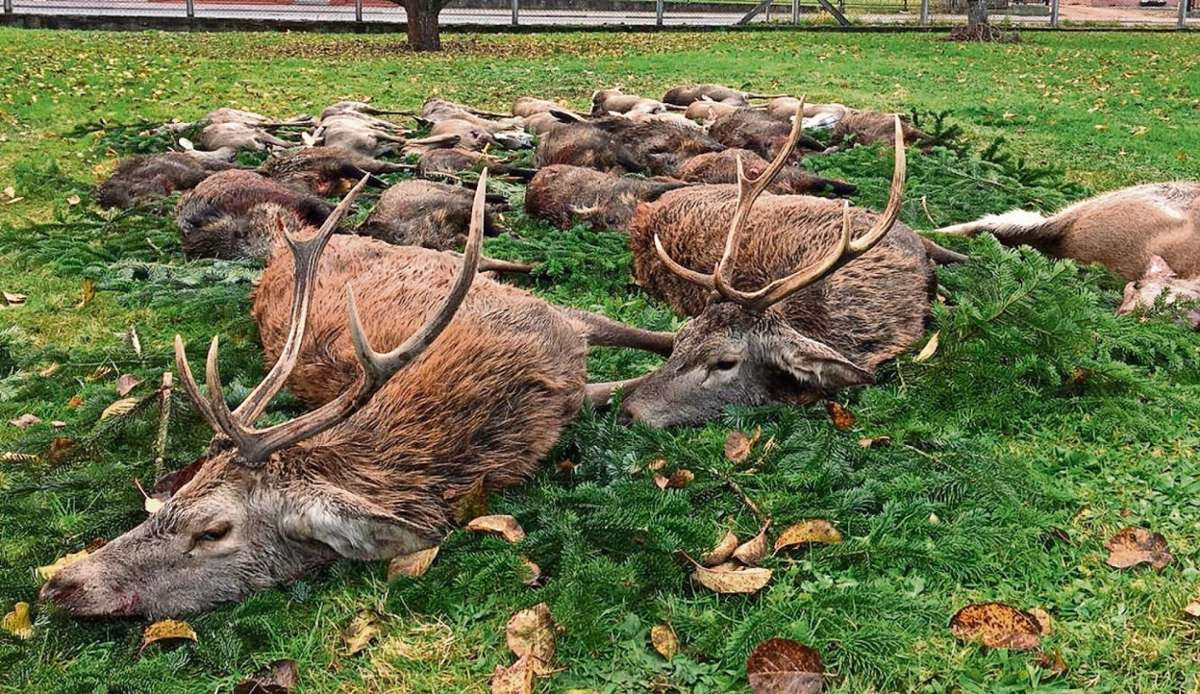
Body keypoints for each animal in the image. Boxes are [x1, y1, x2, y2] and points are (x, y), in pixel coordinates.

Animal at [38, 173, 673, 618]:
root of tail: (285, 246)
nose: (60, 584)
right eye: (165, 502)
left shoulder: (562, 322)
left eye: (212, 530)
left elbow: (655, 345)